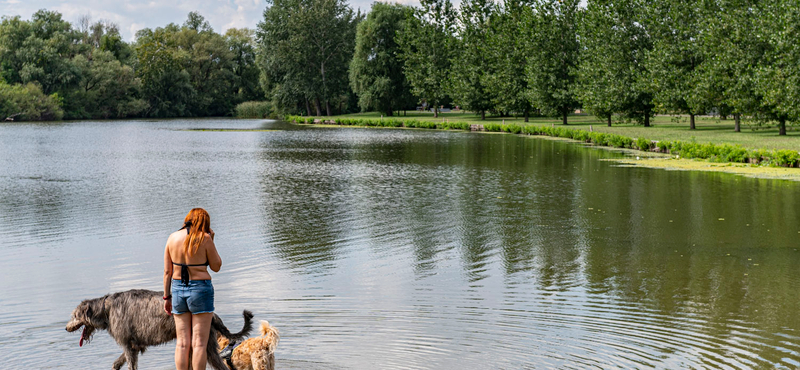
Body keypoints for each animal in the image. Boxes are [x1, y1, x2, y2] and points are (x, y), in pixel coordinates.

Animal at [66, 290, 253, 370]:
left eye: (74, 315)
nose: (66, 328)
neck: (106, 308)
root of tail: (213, 314)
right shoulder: (135, 345)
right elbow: (118, 361)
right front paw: (115, 366)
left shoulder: (127, 344)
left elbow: (131, 364)